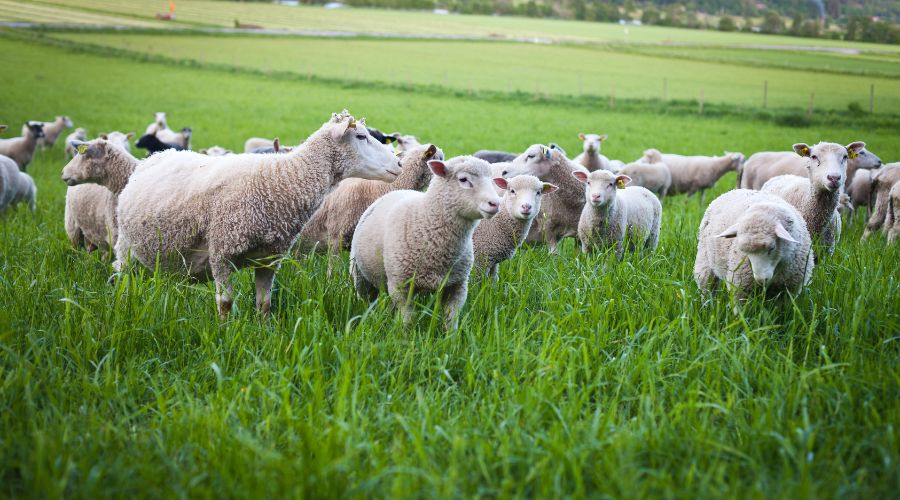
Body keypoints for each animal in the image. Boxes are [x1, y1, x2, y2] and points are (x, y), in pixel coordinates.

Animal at [113, 112, 400, 318]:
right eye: (361, 136)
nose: (398, 162)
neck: (280, 181)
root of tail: (159, 154)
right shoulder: (221, 252)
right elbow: (225, 303)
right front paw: (225, 337)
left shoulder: (269, 259)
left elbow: (264, 304)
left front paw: (264, 331)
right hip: (125, 247)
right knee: (122, 276)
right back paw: (123, 306)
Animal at [348, 154, 500, 330]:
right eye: (463, 179)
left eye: (492, 180)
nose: (495, 203)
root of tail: (398, 191)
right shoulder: (400, 285)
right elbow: (408, 319)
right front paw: (405, 335)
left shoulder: (458, 285)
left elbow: (451, 319)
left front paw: (451, 336)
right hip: (359, 273)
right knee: (365, 298)